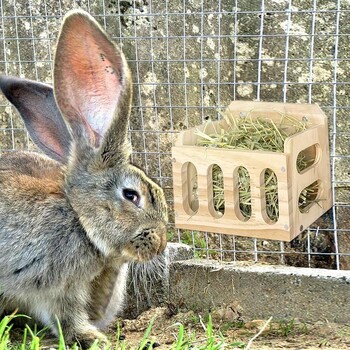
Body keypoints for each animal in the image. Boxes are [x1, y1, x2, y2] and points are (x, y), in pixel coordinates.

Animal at [0, 8, 168, 348]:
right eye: (131, 195)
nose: (160, 244)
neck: (78, 218)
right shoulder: (55, 286)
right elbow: (65, 316)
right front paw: (92, 338)